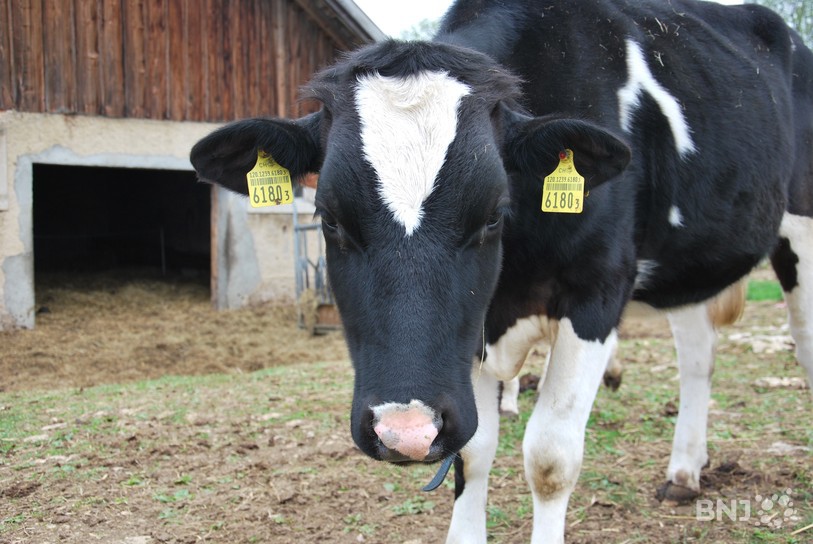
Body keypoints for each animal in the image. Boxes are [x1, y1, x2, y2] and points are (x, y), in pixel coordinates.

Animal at [190, 0, 813, 542]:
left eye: (492, 215)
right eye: (330, 218)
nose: (405, 431)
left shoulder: (598, 291)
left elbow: (551, 456)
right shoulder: (472, 336)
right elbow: (472, 452)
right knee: (698, 358)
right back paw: (685, 471)